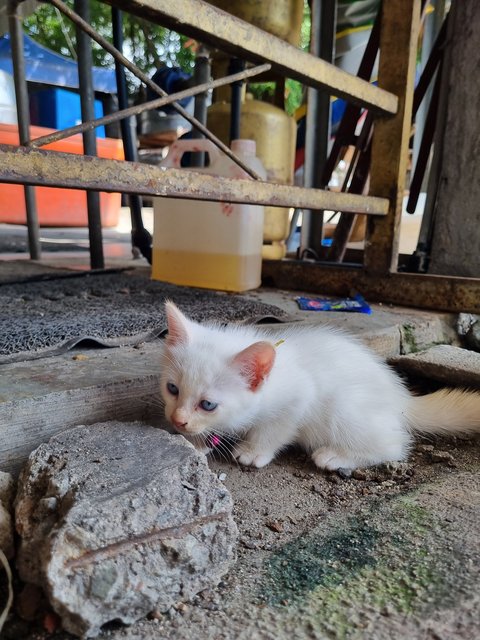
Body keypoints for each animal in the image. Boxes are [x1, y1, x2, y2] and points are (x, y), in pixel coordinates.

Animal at [160, 300, 480, 470]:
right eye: (172, 389)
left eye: (208, 404)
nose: (177, 420)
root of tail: (402, 400)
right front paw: (197, 442)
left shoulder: (299, 395)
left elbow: (276, 428)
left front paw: (253, 450)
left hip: (344, 407)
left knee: (393, 445)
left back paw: (337, 456)